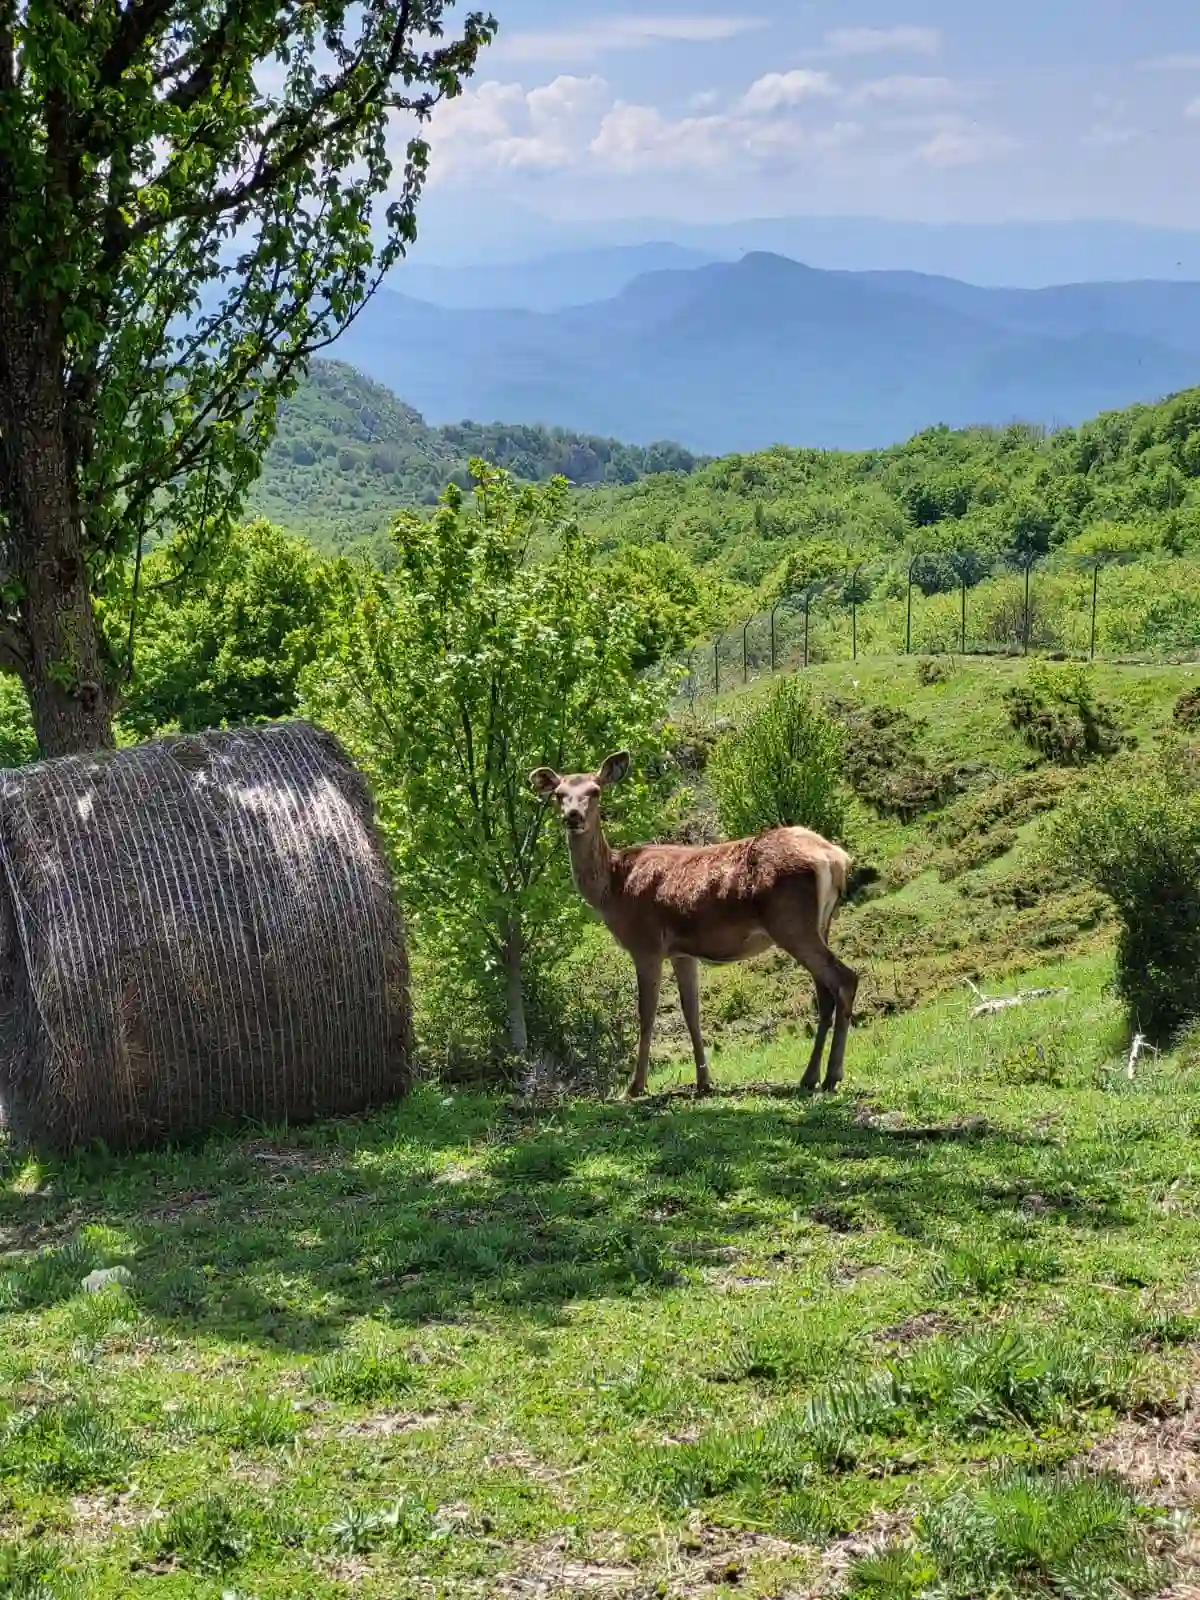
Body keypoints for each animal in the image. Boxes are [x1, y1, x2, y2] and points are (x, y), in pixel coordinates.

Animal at [531, 748, 857, 1100]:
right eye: (559, 794)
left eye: (595, 791)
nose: (573, 816)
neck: (612, 888)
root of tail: (835, 858)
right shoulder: (682, 951)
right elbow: (691, 1012)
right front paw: (703, 1082)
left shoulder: (646, 944)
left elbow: (646, 1013)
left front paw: (636, 1086)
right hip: (820, 923)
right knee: (825, 993)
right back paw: (810, 1077)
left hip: (791, 922)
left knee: (845, 979)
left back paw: (832, 1075)